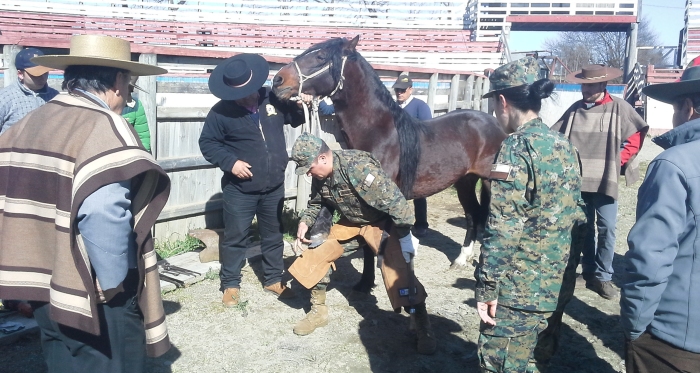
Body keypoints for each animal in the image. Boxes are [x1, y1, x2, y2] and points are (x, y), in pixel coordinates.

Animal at [270, 35, 506, 280]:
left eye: (321, 57)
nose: (277, 79)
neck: (378, 132)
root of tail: (495, 123)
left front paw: (368, 280)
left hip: (489, 182)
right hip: (465, 181)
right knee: (472, 215)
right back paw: (461, 259)